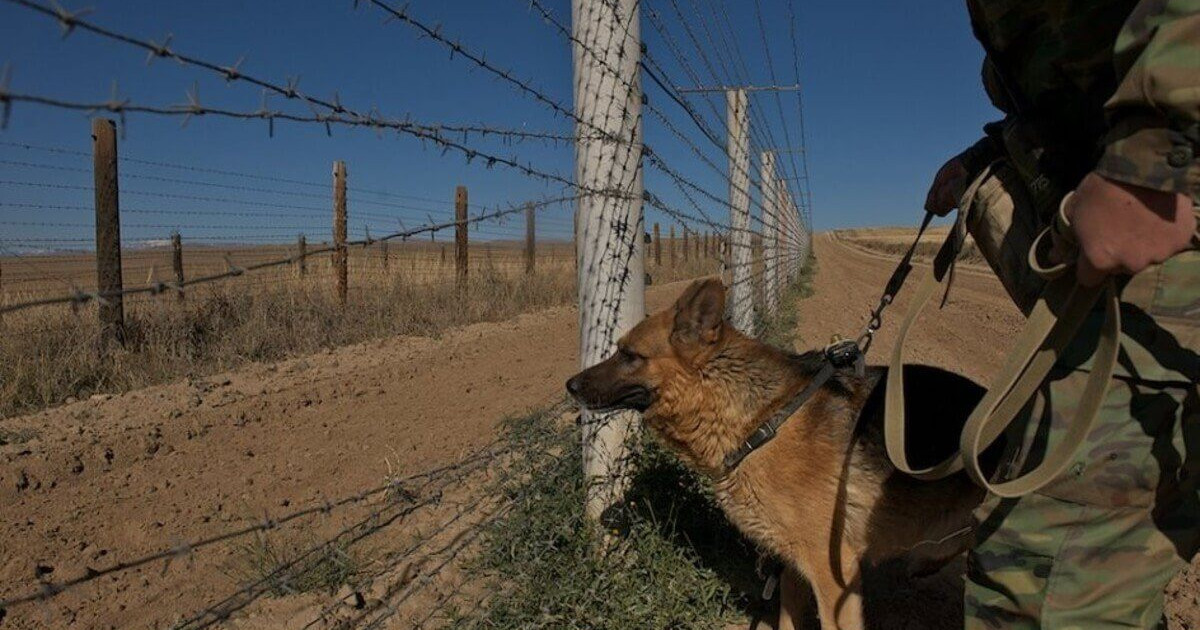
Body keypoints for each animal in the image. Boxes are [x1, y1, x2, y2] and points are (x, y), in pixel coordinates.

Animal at [566, 278, 988, 628]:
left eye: (630, 355)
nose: (570, 385)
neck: (763, 421)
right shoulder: (792, 567)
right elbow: (787, 619)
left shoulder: (832, 572)